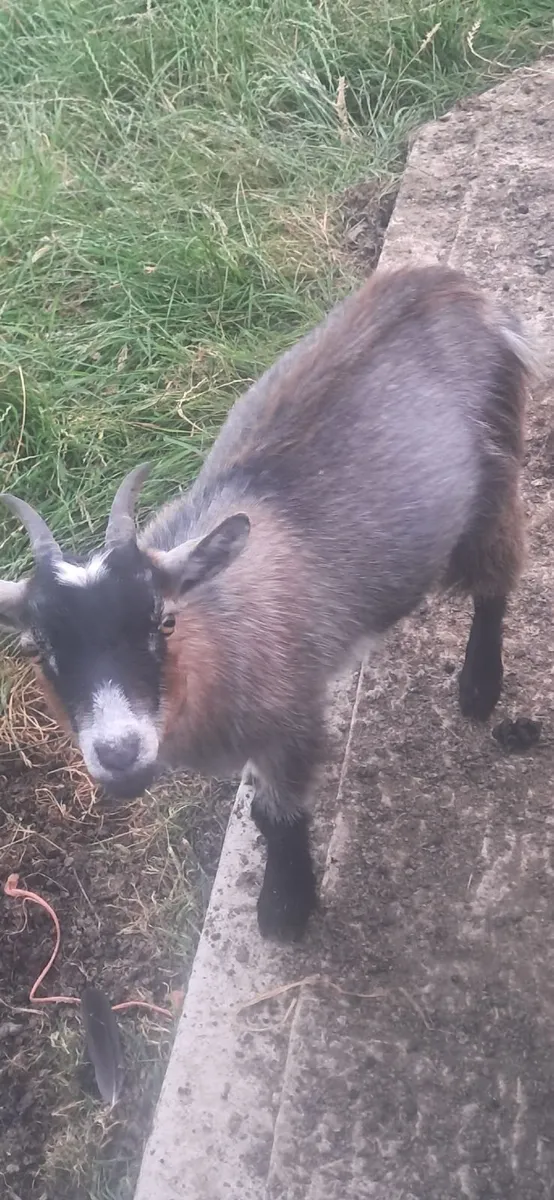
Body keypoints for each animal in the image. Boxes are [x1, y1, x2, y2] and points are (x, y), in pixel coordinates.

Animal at [0, 266, 532, 941]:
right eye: (37, 647)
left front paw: (284, 908)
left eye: (162, 621)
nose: (119, 753)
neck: (217, 630)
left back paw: (479, 687)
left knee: (495, 580)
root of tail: (452, 286)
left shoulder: (293, 712)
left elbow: (277, 815)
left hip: (494, 474)